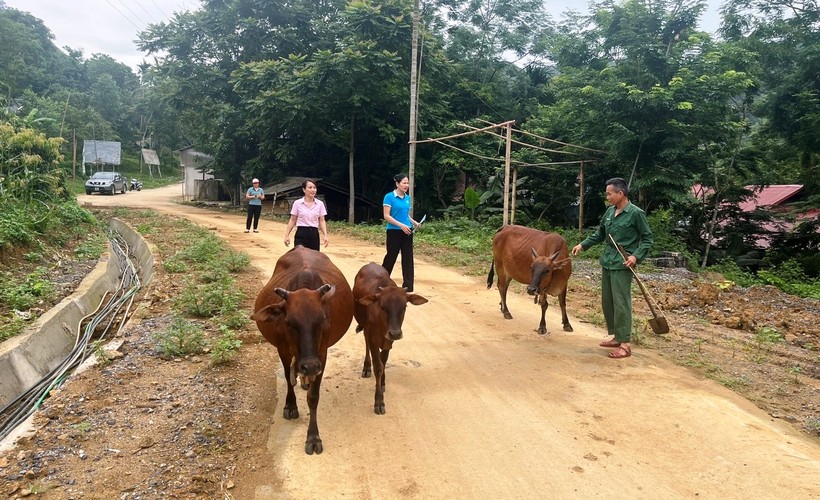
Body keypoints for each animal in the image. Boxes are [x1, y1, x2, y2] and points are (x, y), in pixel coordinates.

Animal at [250, 244, 352, 456]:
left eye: (321, 319)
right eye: (289, 322)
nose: (310, 367)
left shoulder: (321, 355)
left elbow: (313, 397)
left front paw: (313, 437)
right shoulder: (283, 350)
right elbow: (289, 379)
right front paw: (290, 405)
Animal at [352, 264, 430, 416]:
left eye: (404, 306)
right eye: (383, 306)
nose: (395, 333)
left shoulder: (388, 342)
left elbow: (383, 362)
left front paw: (382, 383)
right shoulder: (373, 339)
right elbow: (378, 367)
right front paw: (379, 402)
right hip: (366, 329)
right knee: (366, 343)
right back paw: (366, 367)